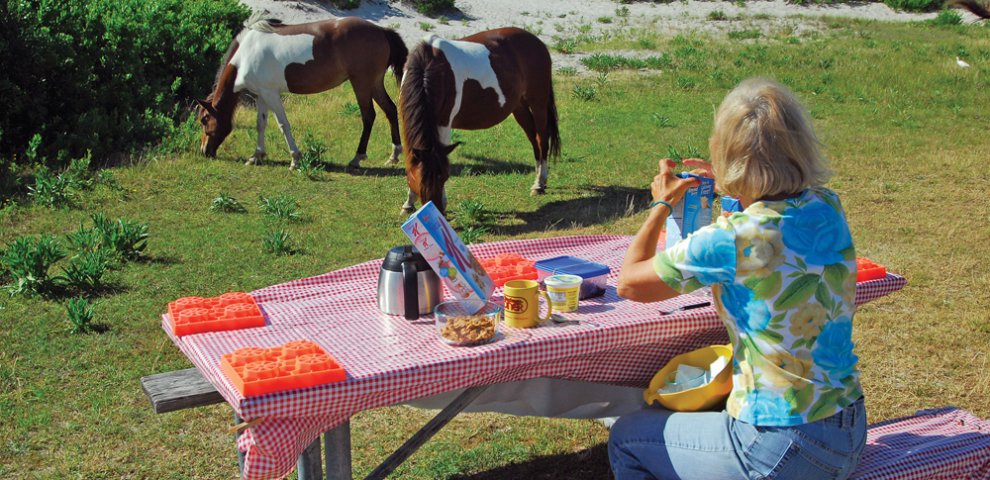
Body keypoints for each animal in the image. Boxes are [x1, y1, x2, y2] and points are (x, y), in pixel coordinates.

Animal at [198, 15, 406, 170]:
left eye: (204, 119)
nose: (204, 152)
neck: (245, 55)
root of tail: (381, 31)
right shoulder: (261, 95)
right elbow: (261, 124)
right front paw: (257, 156)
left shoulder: (271, 94)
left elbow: (283, 125)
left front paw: (295, 159)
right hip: (374, 83)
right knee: (390, 109)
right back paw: (393, 155)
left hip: (361, 84)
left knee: (368, 116)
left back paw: (357, 158)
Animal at [400, 27, 560, 213]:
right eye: (419, 179)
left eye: (444, 176)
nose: (437, 210)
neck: (428, 68)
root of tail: (538, 42)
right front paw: (408, 203)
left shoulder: (444, 124)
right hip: (519, 108)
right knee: (534, 141)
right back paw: (538, 180)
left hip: (538, 104)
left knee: (542, 140)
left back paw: (539, 184)